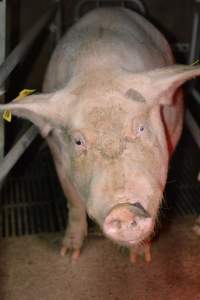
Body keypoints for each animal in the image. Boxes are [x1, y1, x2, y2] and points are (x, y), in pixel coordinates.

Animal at [1, 7, 200, 262]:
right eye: (78, 141)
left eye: (140, 128)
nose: (123, 210)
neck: (98, 68)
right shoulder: (57, 153)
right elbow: (73, 200)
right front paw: (69, 253)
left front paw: (139, 259)